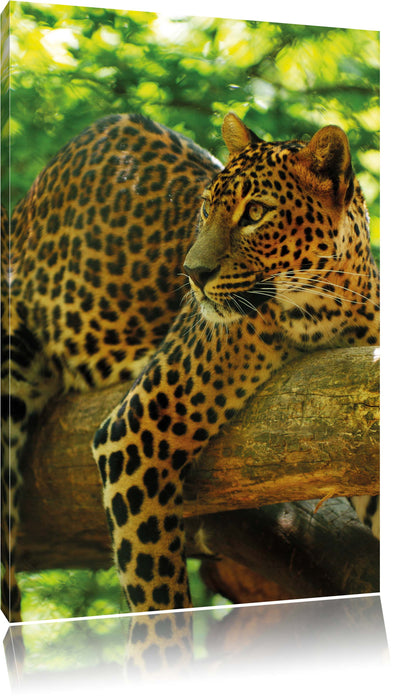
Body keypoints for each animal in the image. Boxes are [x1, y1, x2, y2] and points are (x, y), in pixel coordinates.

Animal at [1, 111, 380, 626]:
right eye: (206, 209)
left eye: (255, 213)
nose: (192, 273)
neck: (326, 311)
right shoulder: (135, 430)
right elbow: (157, 594)